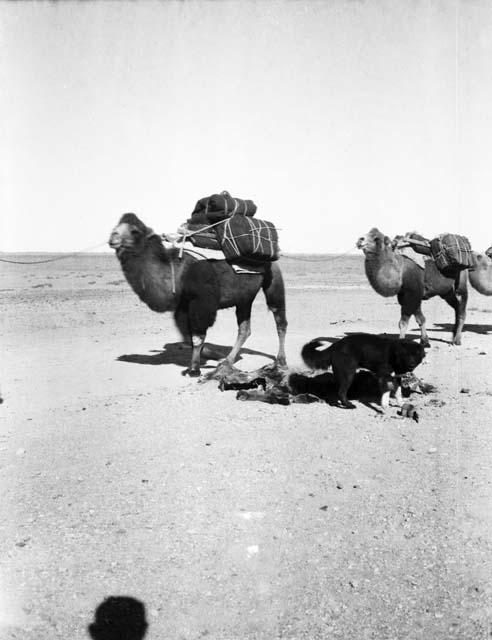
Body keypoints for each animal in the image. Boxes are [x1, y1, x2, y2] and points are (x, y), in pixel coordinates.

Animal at [109, 212, 286, 378]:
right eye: (116, 226)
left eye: (134, 231)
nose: (113, 237)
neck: (177, 272)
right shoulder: (183, 305)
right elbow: (188, 337)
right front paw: (214, 356)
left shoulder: (201, 303)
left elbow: (197, 336)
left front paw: (194, 369)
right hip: (245, 297)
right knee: (244, 328)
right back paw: (227, 361)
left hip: (273, 277)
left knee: (279, 319)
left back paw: (281, 361)